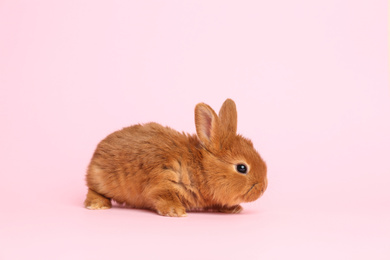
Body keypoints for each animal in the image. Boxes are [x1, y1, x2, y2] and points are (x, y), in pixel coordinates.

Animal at [84, 98, 268, 216]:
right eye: (242, 167)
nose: (263, 188)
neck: (199, 169)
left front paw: (234, 209)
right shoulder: (163, 181)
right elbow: (163, 197)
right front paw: (177, 211)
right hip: (100, 180)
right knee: (93, 190)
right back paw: (97, 204)